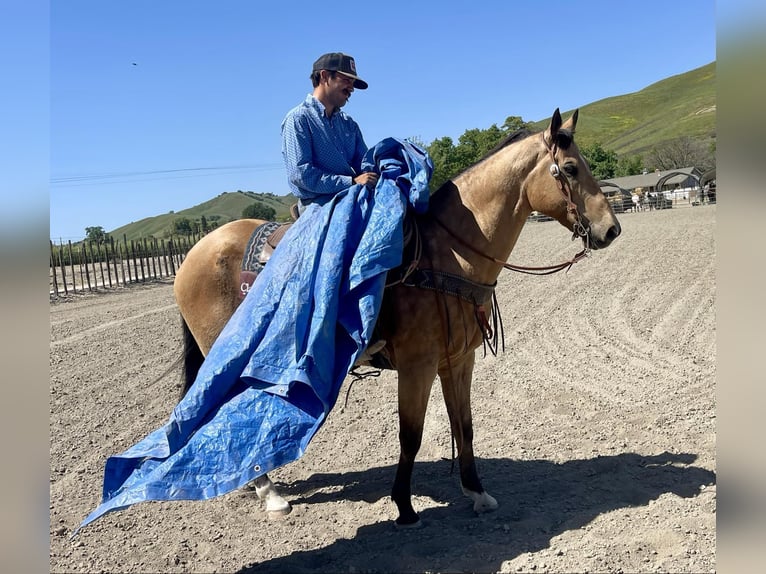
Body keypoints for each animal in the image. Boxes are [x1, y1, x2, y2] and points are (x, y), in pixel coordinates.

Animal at [174, 110, 624, 528]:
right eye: (570, 168)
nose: (611, 230)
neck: (447, 254)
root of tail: (195, 252)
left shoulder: (458, 360)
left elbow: (464, 425)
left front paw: (476, 492)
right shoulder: (416, 365)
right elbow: (412, 435)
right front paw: (405, 507)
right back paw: (269, 492)